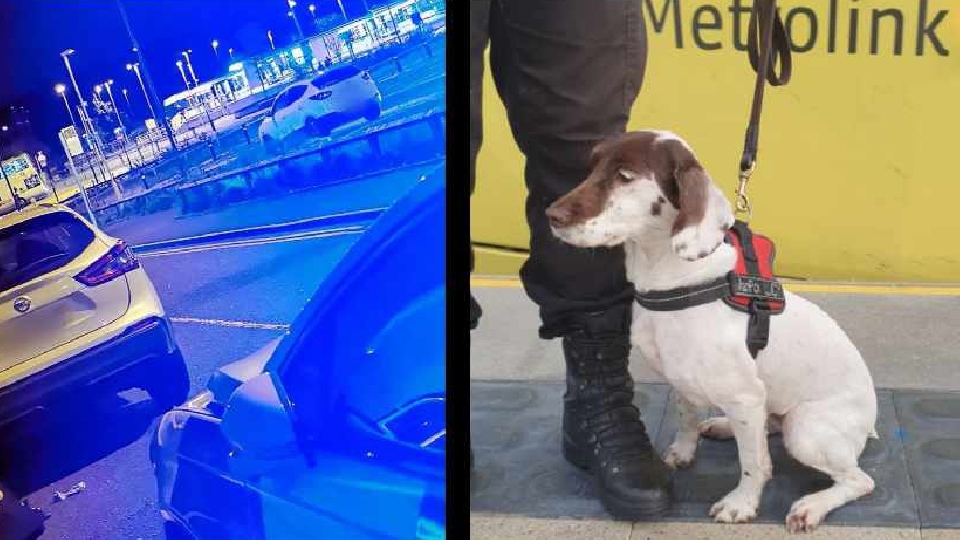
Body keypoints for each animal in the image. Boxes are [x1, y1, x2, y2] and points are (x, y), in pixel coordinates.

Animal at [548, 131, 876, 532]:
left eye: (625, 176)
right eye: (591, 166)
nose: (551, 216)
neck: (672, 279)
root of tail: (870, 420)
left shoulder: (746, 396)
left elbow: (754, 464)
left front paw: (742, 504)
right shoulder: (683, 381)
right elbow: (687, 421)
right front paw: (683, 452)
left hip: (806, 429)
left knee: (858, 479)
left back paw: (811, 506)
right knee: (770, 425)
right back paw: (723, 426)